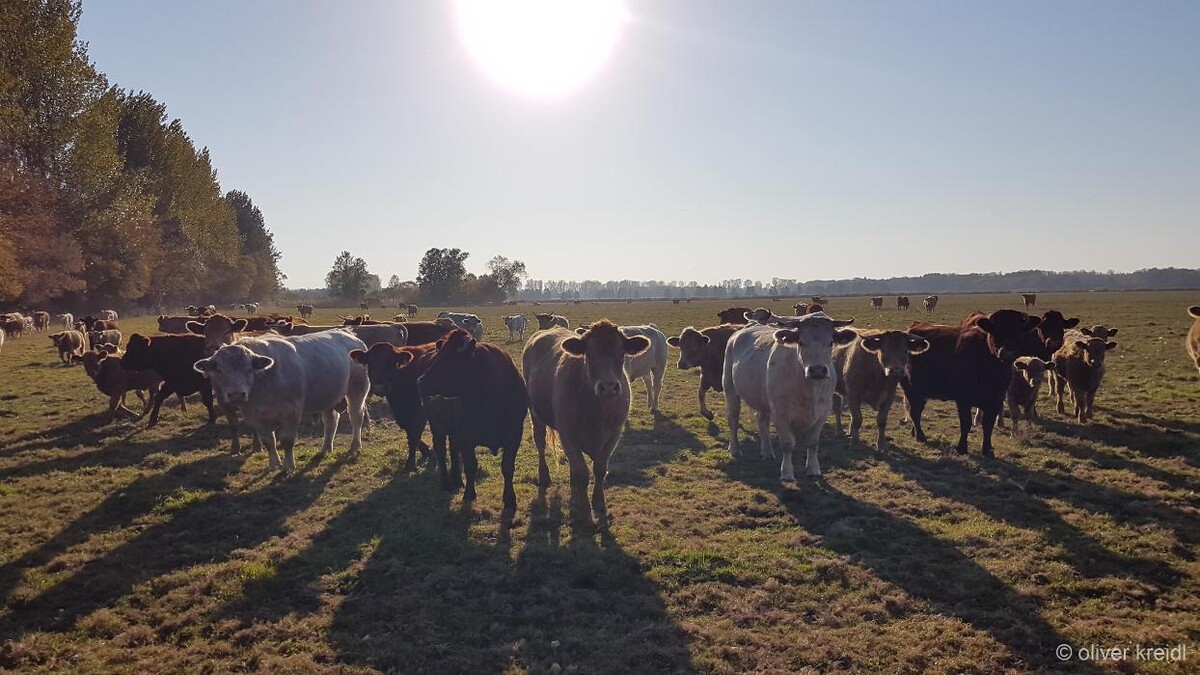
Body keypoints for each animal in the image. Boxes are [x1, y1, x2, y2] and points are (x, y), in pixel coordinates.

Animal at [195, 329, 369, 470]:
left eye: (249, 368)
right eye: (219, 370)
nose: (237, 394)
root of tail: (349, 334)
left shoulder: (292, 412)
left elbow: (287, 440)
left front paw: (288, 465)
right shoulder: (256, 417)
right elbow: (268, 441)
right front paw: (274, 464)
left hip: (357, 390)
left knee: (356, 417)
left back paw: (355, 445)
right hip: (327, 397)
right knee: (331, 421)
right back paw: (326, 448)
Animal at [410, 329, 528, 506]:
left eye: (449, 359)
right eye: (439, 357)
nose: (420, 382)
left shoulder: (514, 434)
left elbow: (507, 467)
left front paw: (509, 498)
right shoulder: (466, 436)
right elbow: (471, 466)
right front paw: (469, 494)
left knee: (452, 450)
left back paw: (457, 480)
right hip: (437, 427)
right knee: (441, 452)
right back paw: (446, 483)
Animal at [525, 317, 652, 523]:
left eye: (621, 354)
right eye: (590, 355)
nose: (608, 387)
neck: (596, 410)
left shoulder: (613, 435)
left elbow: (599, 469)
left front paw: (599, 503)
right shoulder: (568, 434)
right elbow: (582, 473)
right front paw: (584, 509)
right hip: (535, 414)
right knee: (540, 443)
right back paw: (544, 476)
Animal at [720, 312, 854, 480]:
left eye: (831, 343)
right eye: (801, 342)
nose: (817, 370)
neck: (809, 389)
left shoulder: (822, 413)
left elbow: (813, 443)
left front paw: (814, 469)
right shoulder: (781, 413)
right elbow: (788, 443)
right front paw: (787, 472)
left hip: (763, 399)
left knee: (762, 421)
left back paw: (767, 452)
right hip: (730, 388)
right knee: (733, 418)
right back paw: (735, 449)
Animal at [902, 307, 1041, 454]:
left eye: (1018, 332)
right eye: (995, 331)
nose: (1007, 352)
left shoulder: (996, 400)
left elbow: (988, 425)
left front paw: (987, 450)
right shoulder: (963, 399)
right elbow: (966, 423)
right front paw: (962, 447)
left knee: (916, 410)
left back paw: (914, 433)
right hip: (911, 389)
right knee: (914, 412)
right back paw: (920, 436)